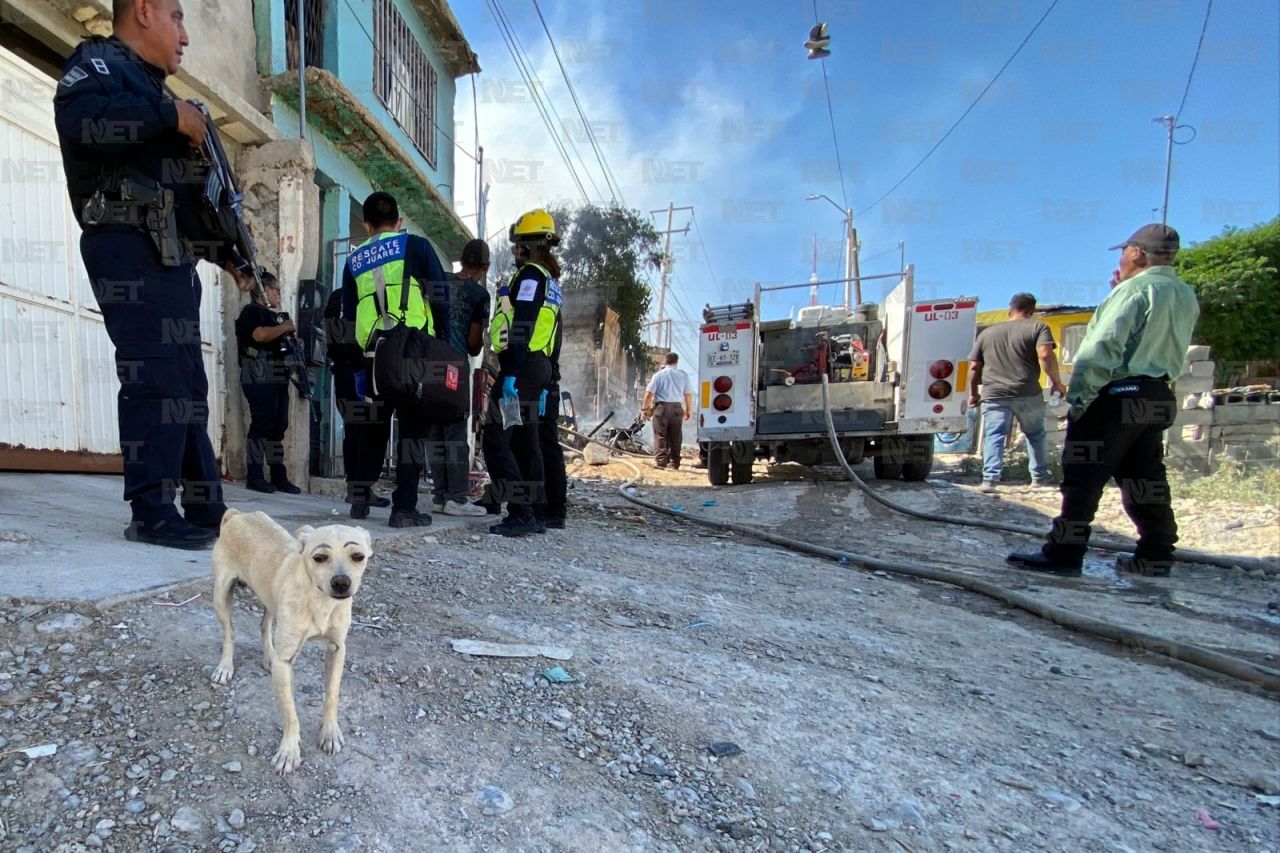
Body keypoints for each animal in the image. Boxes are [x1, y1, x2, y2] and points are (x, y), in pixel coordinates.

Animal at [208, 507, 371, 773]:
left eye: (358, 556)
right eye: (319, 557)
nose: (341, 582)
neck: (319, 600)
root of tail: (239, 513)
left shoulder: (337, 649)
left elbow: (332, 695)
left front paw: (330, 732)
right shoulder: (286, 662)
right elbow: (290, 712)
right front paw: (289, 751)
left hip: (270, 600)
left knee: (264, 625)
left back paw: (268, 658)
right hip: (221, 594)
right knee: (229, 633)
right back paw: (225, 667)